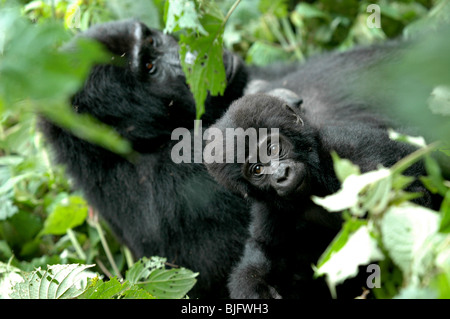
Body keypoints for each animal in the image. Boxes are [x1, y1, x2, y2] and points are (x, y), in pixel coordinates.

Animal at [205, 93, 432, 300]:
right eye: (257, 170)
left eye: (273, 148)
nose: (281, 175)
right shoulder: (269, 206)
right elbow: (266, 247)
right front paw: (254, 287)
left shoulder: (355, 154)